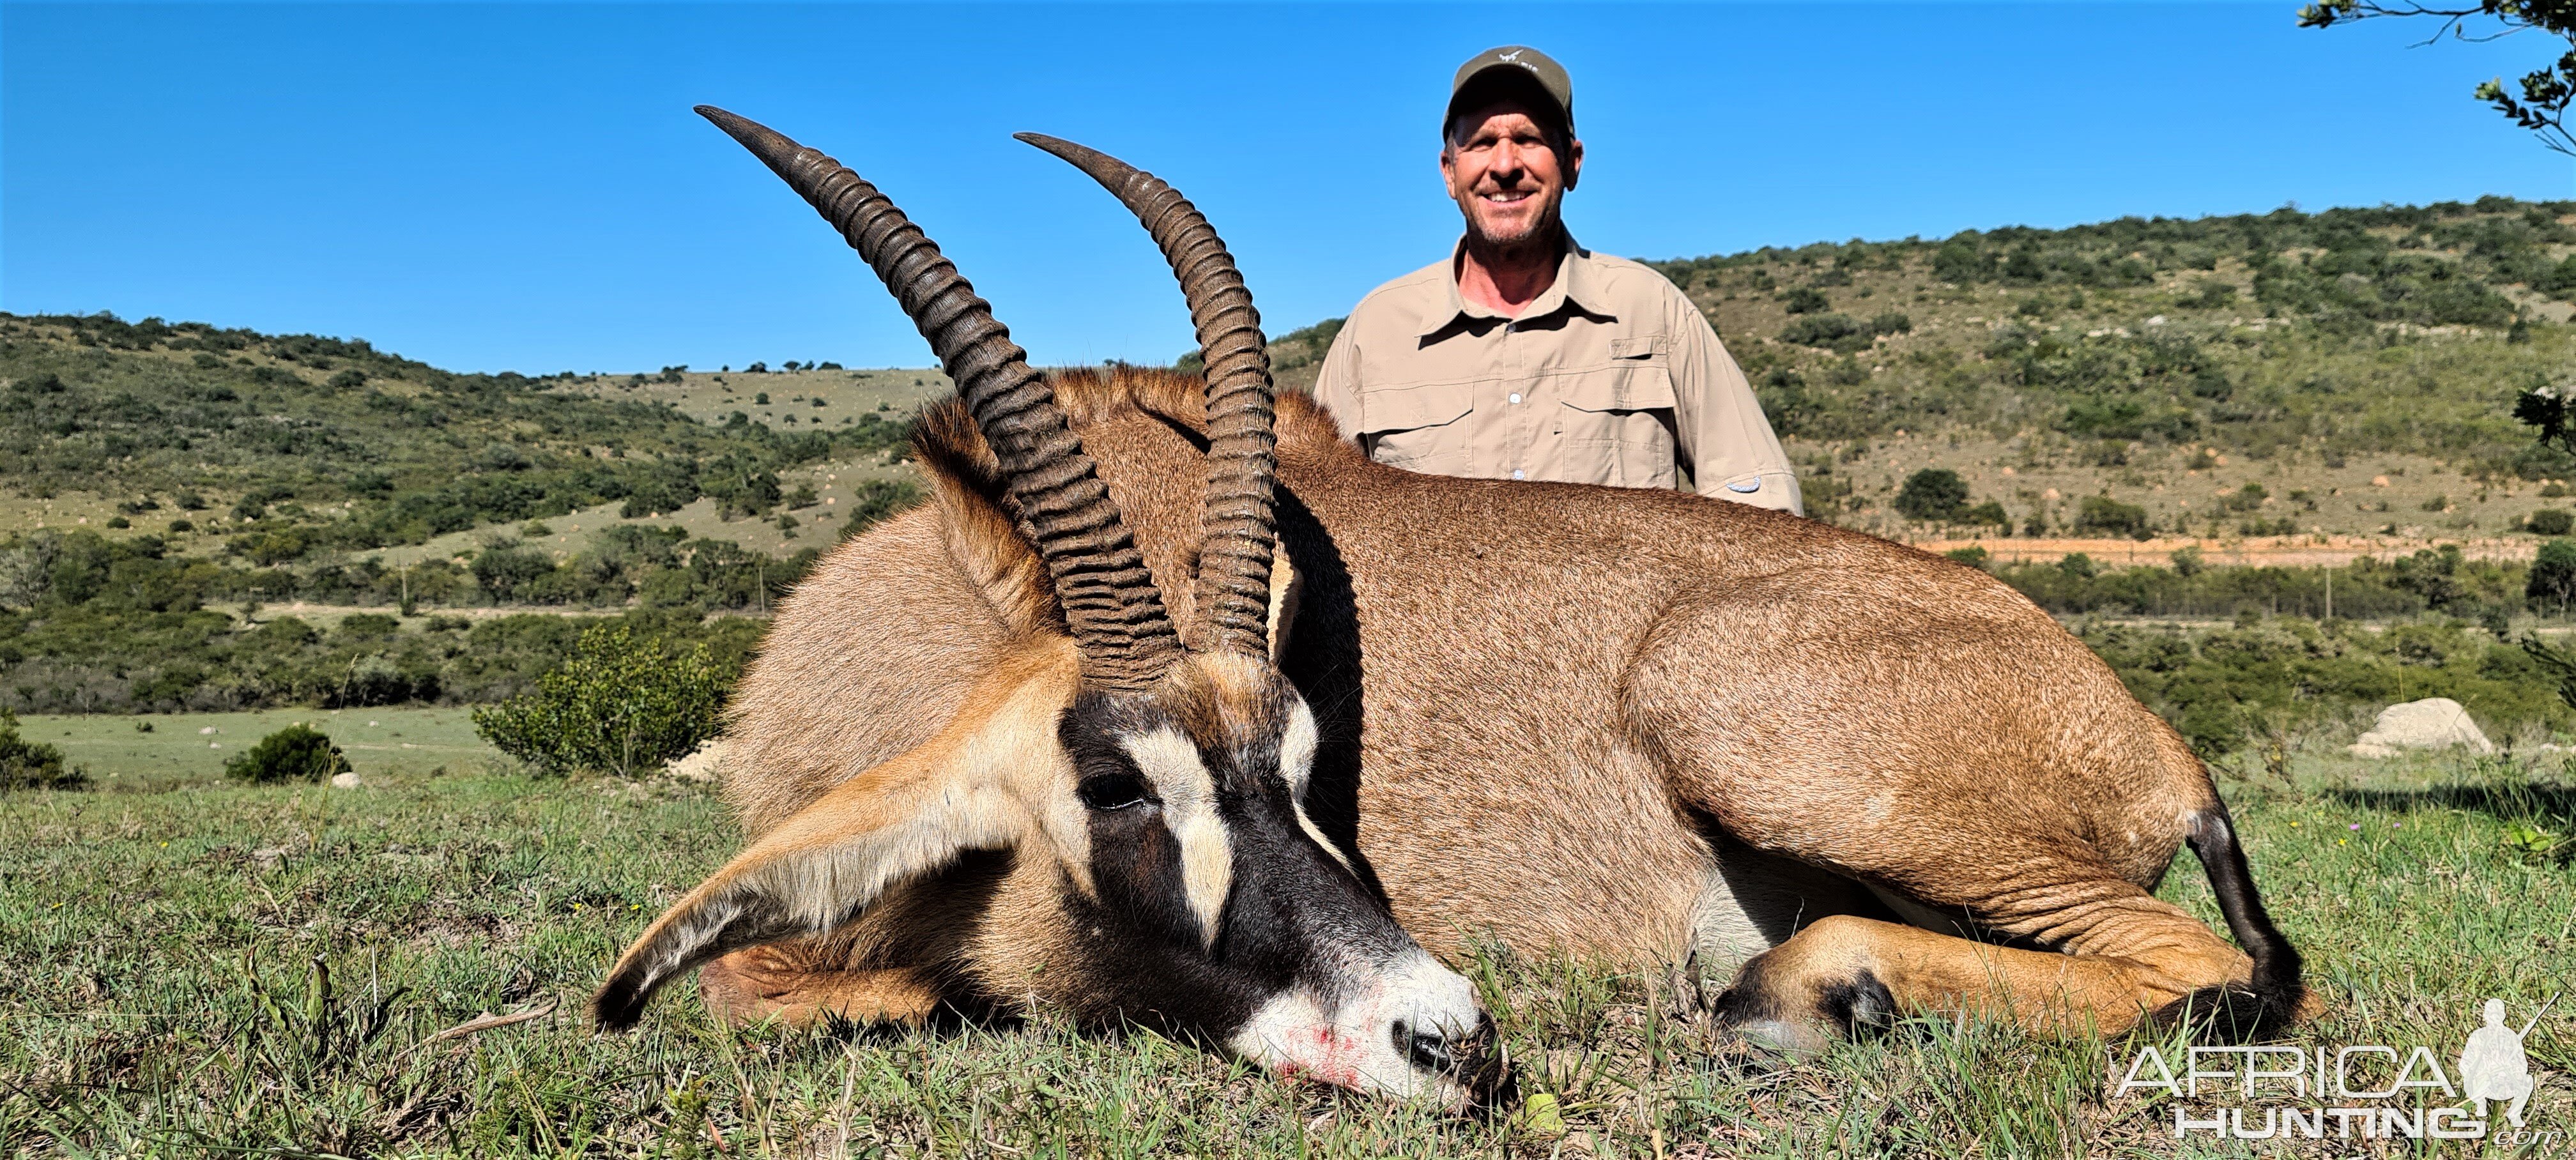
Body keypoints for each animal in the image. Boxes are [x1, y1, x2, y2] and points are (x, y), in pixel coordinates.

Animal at [597, 111, 2318, 1113]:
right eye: (1109, 780)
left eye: (1308, 758)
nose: (1452, 1036)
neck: (945, 600)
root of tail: (2156, 744)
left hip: (1744, 725)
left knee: (2198, 964)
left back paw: (1812, 991)